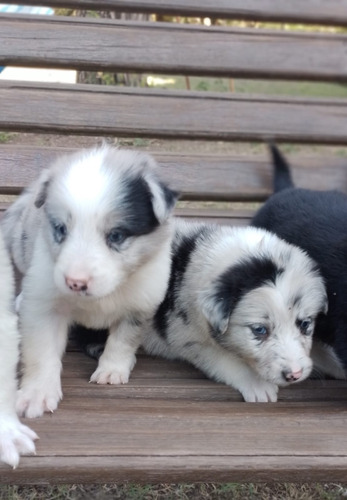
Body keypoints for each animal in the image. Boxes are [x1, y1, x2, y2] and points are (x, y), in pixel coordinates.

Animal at [1, 145, 178, 418]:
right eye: (60, 229)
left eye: (116, 235)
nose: (75, 283)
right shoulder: (44, 305)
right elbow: (42, 352)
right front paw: (37, 394)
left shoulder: (140, 305)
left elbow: (123, 341)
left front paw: (113, 370)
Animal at [142, 221, 328, 400]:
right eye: (260, 330)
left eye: (305, 324)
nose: (294, 374)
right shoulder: (185, 336)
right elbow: (223, 358)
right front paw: (258, 384)